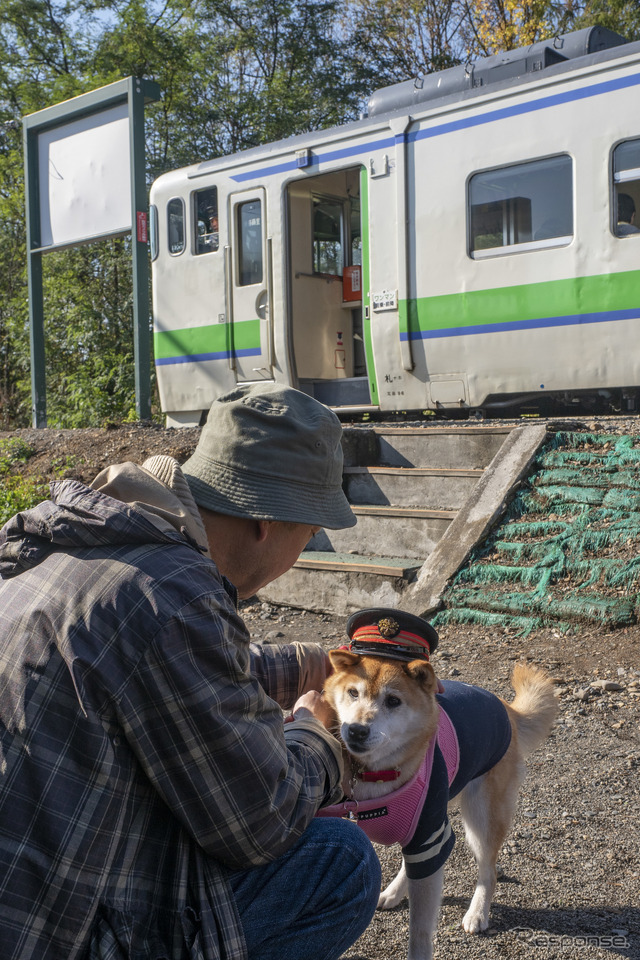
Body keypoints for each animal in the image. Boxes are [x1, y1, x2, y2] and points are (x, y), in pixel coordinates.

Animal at [318, 608, 556, 960]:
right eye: (353, 693)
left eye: (393, 701)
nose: (356, 731)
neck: (377, 773)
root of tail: (504, 707)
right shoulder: (421, 836)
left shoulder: (429, 835)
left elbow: (419, 930)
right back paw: (393, 892)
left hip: (481, 820)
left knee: (488, 870)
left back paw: (477, 913)